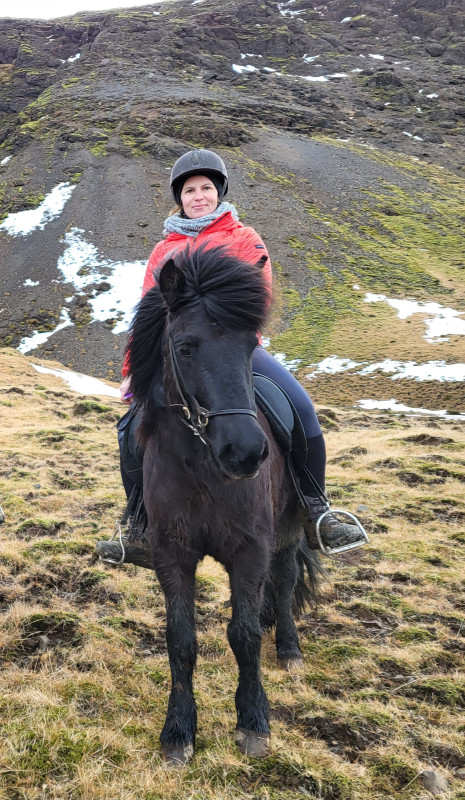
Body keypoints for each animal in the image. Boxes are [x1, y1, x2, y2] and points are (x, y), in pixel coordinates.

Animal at [127, 244, 318, 764]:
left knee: (286, 580)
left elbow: (244, 635)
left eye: (250, 345)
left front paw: (253, 721)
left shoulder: (250, 550)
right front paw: (178, 731)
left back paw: (289, 649)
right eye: (185, 347)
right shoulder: (171, 554)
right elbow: (181, 639)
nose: (246, 451)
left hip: (289, 529)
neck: (202, 469)